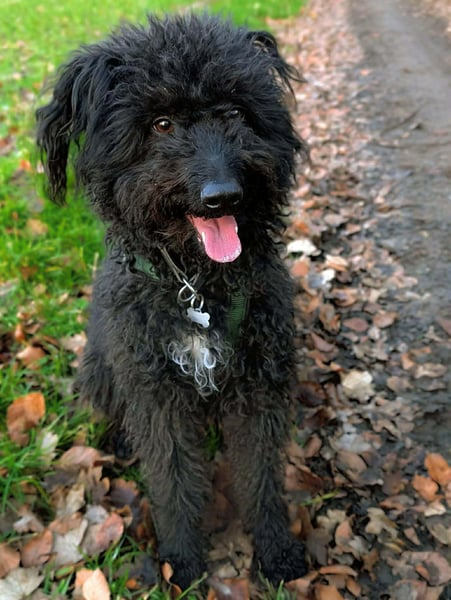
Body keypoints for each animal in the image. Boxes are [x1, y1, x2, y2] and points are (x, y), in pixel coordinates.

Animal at [36, 13, 309, 589]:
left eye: (235, 111)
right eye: (161, 123)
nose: (222, 196)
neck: (196, 287)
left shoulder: (260, 389)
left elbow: (262, 478)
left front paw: (276, 552)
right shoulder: (156, 395)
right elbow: (173, 482)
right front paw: (181, 562)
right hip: (101, 367)